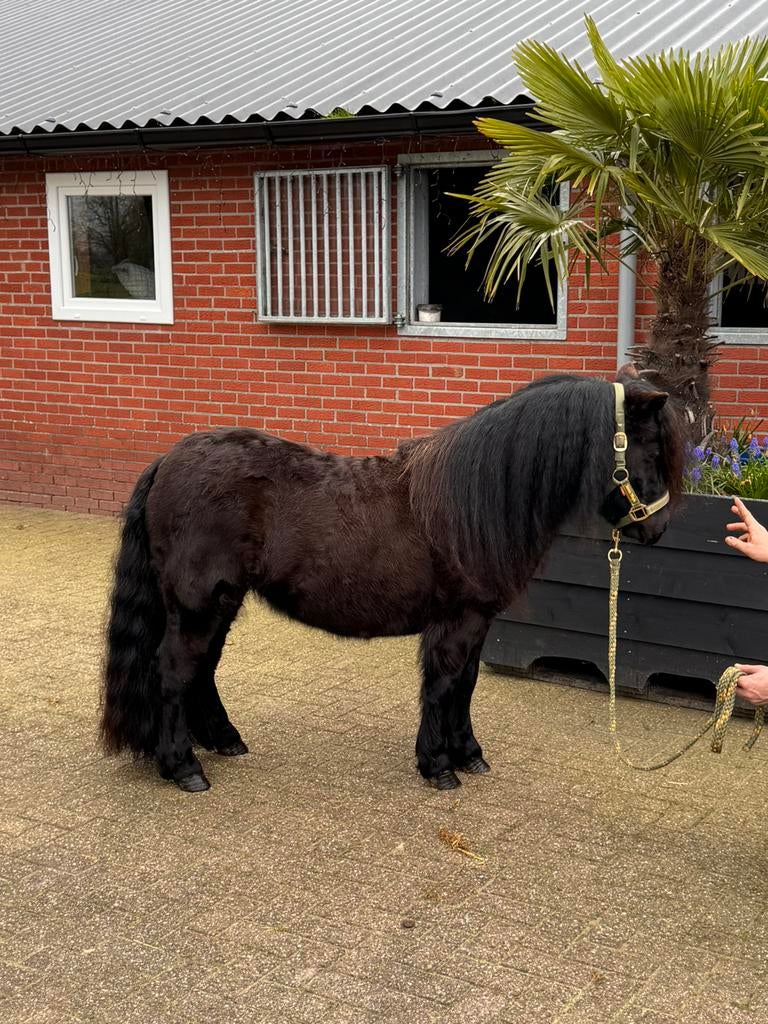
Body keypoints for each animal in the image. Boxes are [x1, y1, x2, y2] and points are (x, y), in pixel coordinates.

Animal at [100, 372, 685, 793]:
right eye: (651, 449)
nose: (657, 529)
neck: (473, 498)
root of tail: (168, 459)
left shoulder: (476, 621)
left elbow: (466, 686)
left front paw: (468, 755)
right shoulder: (457, 619)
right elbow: (444, 685)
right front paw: (439, 766)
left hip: (219, 603)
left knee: (202, 671)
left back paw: (223, 742)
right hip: (197, 604)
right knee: (174, 672)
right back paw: (183, 767)